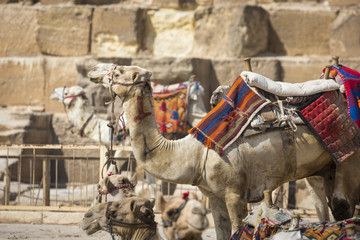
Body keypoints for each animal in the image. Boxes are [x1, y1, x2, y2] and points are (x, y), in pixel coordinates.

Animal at [88, 64, 360, 240]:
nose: (94, 71)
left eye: (119, 70)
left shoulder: (235, 193)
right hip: (323, 168)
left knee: (341, 204)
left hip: (350, 158)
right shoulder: (214, 197)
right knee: (326, 206)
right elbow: (221, 231)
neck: (196, 152)